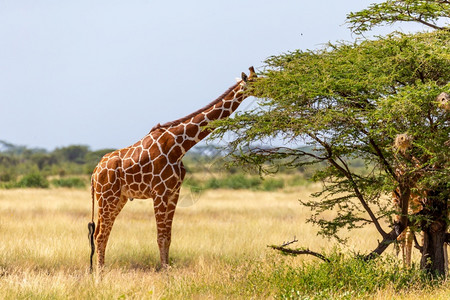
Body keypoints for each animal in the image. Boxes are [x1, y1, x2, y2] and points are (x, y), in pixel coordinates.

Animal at [88, 67, 256, 274]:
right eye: (256, 81)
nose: (270, 88)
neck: (180, 145)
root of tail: (94, 173)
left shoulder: (174, 192)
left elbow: (168, 237)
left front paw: (167, 271)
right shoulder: (159, 192)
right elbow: (160, 237)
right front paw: (164, 274)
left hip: (119, 198)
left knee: (100, 232)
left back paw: (99, 271)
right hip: (107, 196)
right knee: (100, 235)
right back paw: (100, 274)